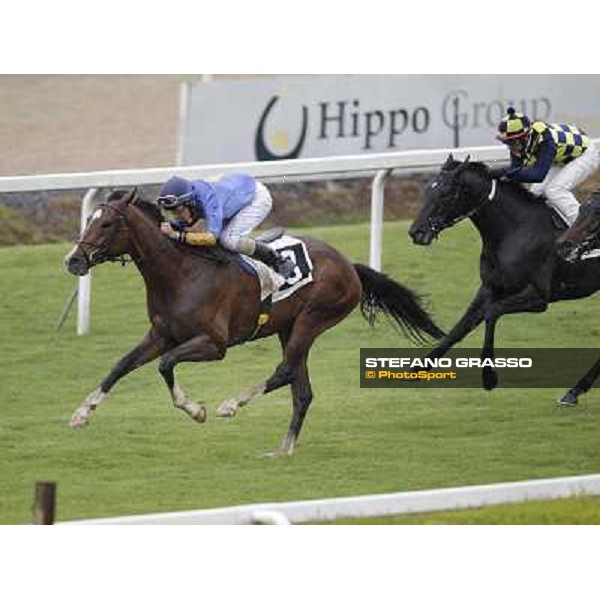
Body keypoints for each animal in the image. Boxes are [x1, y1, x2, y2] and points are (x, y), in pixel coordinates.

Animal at [64, 189, 446, 454]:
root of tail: (349, 266)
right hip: (289, 327)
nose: (73, 260)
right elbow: (120, 366)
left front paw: (195, 409)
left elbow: (165, 365)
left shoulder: (214, 344)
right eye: (89, 220)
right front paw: (82, 413)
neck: (181, 272)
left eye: (107, 223)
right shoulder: (161, 334)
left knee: (285, 371)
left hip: (313, 319)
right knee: (301, 390)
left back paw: (232, 404)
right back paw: (284, 449)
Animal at [410, 156, 600, 408]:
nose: (416, 231)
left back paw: (574, 390)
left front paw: (489, 377)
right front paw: (418, 368)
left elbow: (492, 313)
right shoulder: (489, 288)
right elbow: (460, 327)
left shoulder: (537, 297)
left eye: (446, 194)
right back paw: (574, 391)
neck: (513, 231)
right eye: (427, 191)